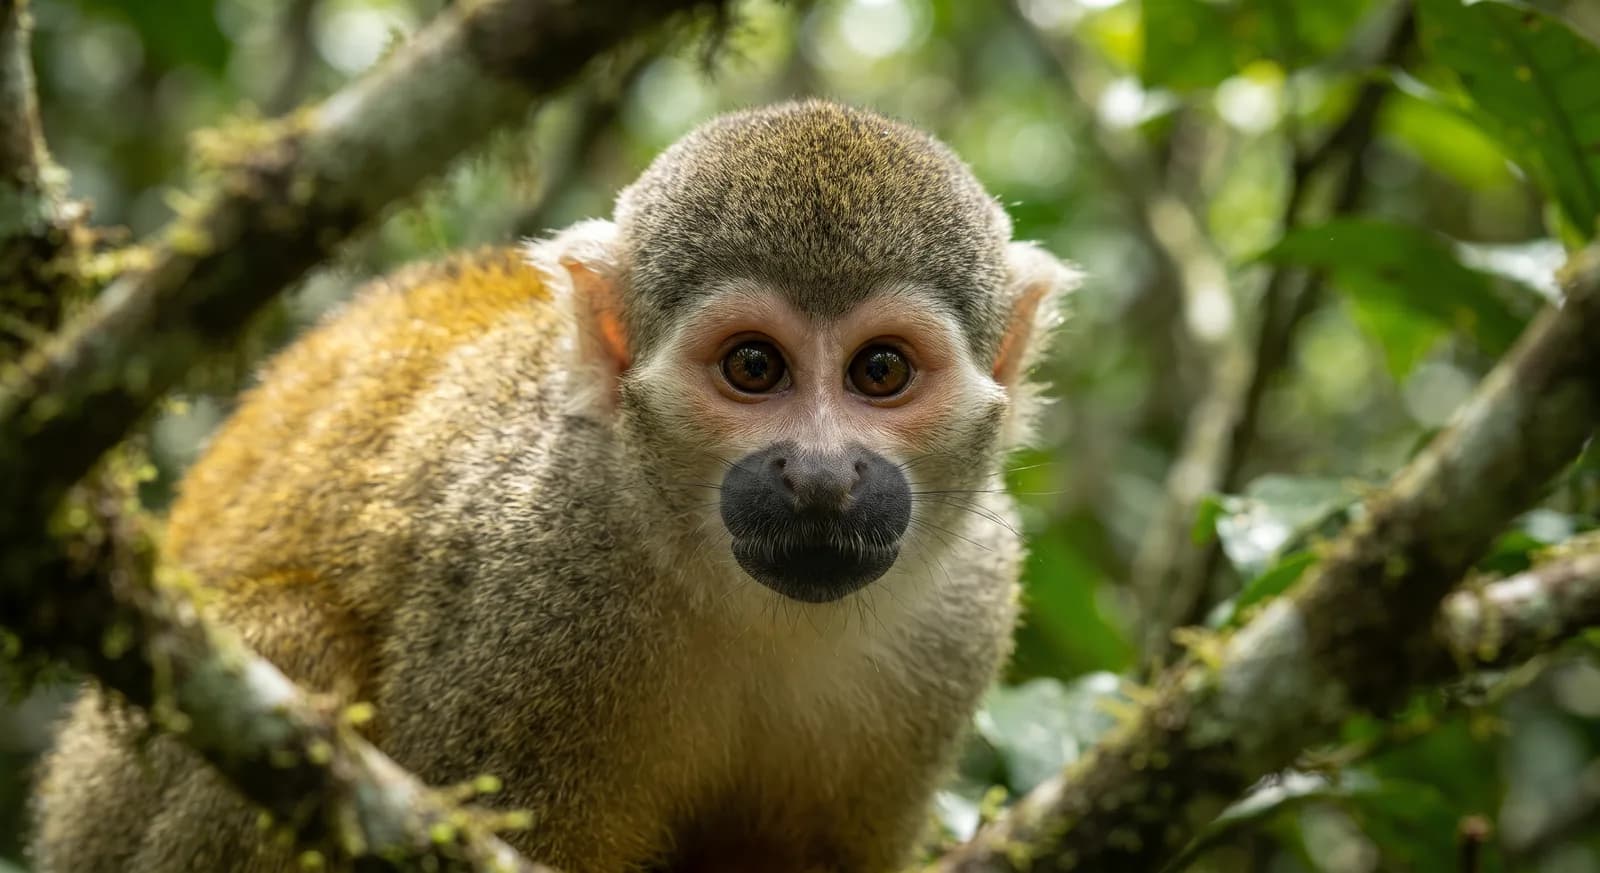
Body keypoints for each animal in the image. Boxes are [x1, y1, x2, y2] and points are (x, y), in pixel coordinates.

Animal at [29, 99, 1078, 873]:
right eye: (752, 366)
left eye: (880, 372)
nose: (820, 475)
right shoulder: (532, 577)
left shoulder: (967, 604)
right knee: (292, 640)